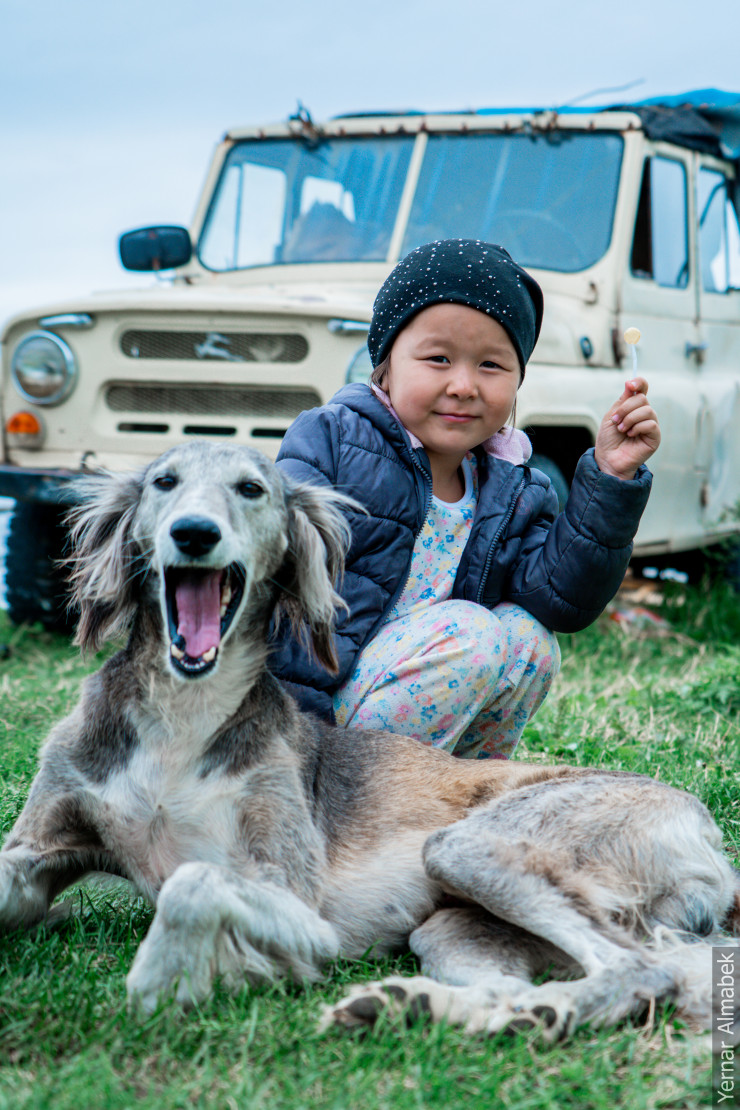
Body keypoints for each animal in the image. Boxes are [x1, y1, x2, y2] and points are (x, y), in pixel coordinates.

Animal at [0, 440, 738, 1041]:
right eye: (164, 481)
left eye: (251, 488)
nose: (194, 532)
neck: (183, 715)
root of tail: (707, 831)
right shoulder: (40, 842)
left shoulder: (299, 903)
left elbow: (193, 880)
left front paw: (163, 977)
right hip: (454, 927)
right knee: (530, 980)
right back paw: (428, 1006)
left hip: (477, 846)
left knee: (642, 969)